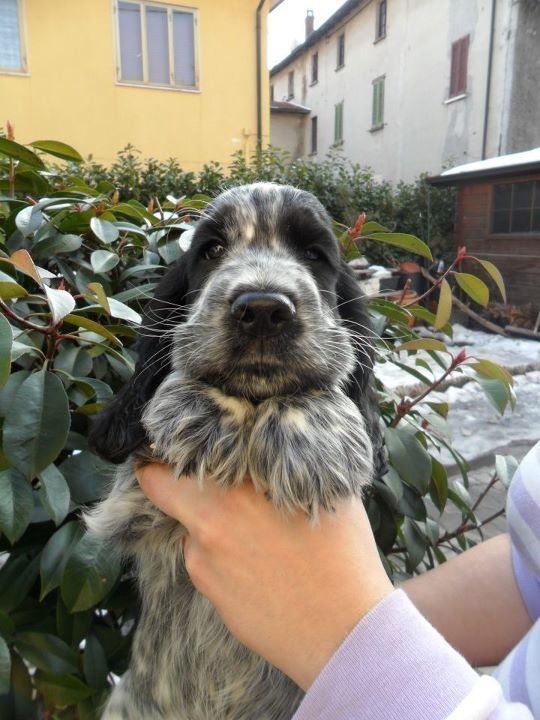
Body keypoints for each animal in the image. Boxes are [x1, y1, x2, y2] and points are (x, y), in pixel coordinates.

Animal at [87, 184, 384, 720]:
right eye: (211, 250)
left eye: (315, 255)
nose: (263, 308)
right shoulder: (128, 505)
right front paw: (200, 410)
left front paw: (316, 440)